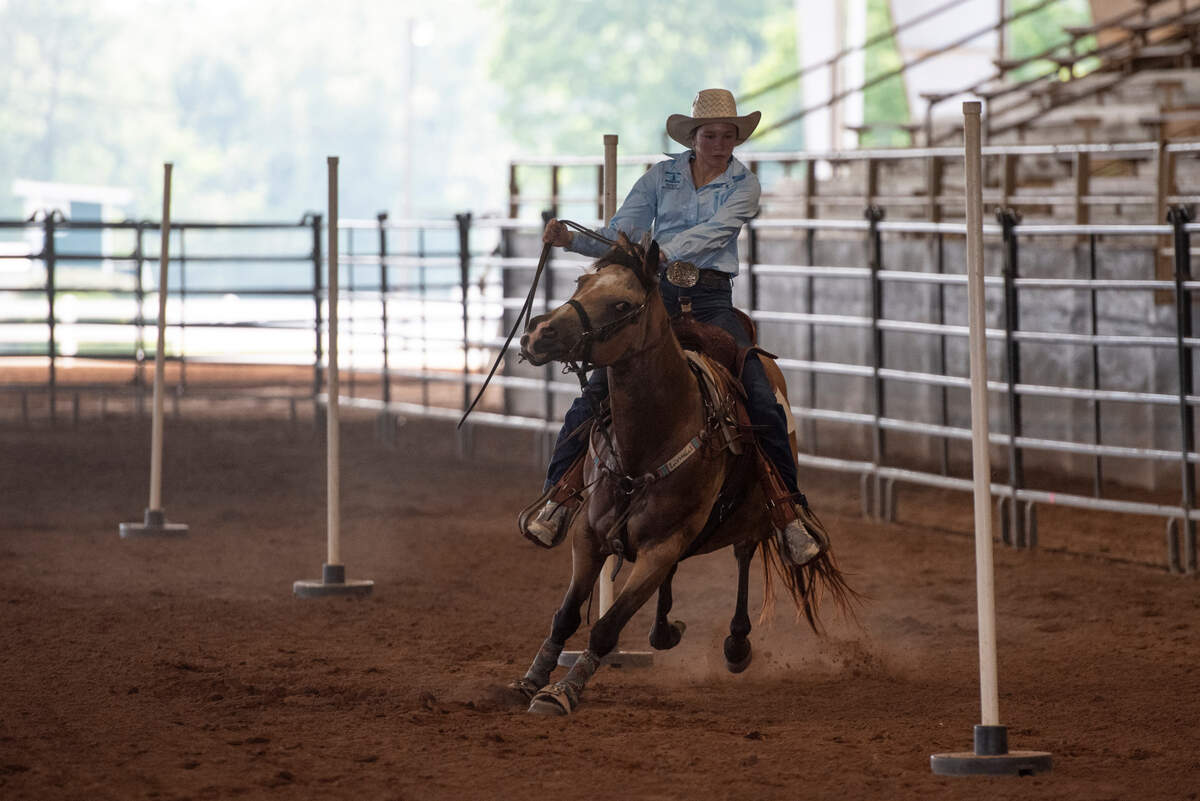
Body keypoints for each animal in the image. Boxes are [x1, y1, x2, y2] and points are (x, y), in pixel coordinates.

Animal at [510, 233, 855, 716]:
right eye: (581, 282)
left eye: (622, 304)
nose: (538, 333)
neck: (649, 440)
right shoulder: (590, 535)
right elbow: (566, 615)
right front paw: (532, 678)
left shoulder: (661, 546)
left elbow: (607, 627)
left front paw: (562, 692)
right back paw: (663, 630)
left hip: (751, 517)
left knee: (744, 556)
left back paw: (736, 644)